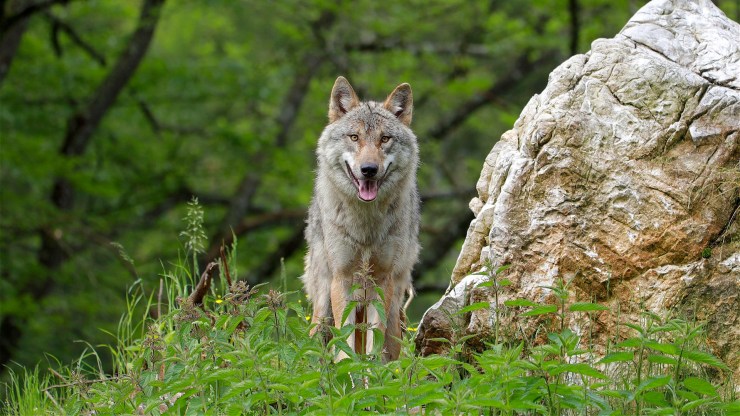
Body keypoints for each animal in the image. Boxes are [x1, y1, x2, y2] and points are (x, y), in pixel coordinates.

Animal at [302, 76, 420, 361]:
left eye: (385, 139)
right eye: (354, 137)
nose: (368, 170)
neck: (366, 227)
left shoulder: (381, 282)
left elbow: (373, 345)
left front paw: (370, 374)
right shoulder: (341, 280)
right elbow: (344, 347)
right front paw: (348, 372)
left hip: (393, 308)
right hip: (323, 307)